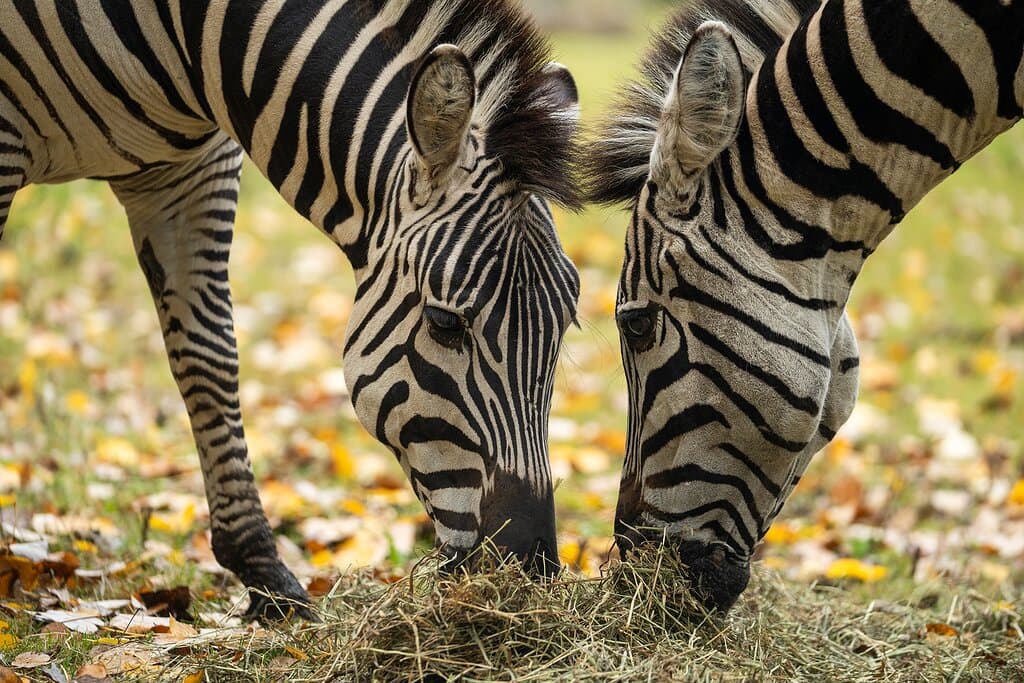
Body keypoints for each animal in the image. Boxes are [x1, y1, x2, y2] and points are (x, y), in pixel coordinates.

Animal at [1, 0, 582, 619]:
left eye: (564, 326)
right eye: (445, 323)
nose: (530, 565)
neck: (184, 38)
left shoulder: (190, 172)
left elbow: (209, 359)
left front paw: (265, 576)